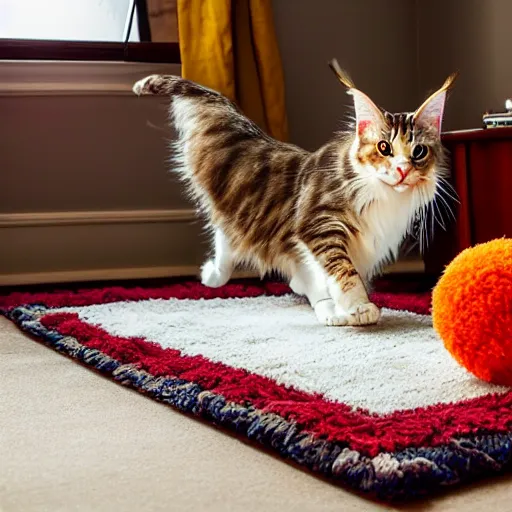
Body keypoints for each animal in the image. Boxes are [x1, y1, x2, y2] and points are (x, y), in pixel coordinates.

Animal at [132, 59, 456, 324]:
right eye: (384, 148)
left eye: (418, 152)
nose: (402, 170)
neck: (385, 198)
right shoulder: (319, 223)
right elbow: (342, 269)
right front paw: (356, 306)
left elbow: (331, 274)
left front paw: (337, 307)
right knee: (227, 234)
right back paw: (214, 275)